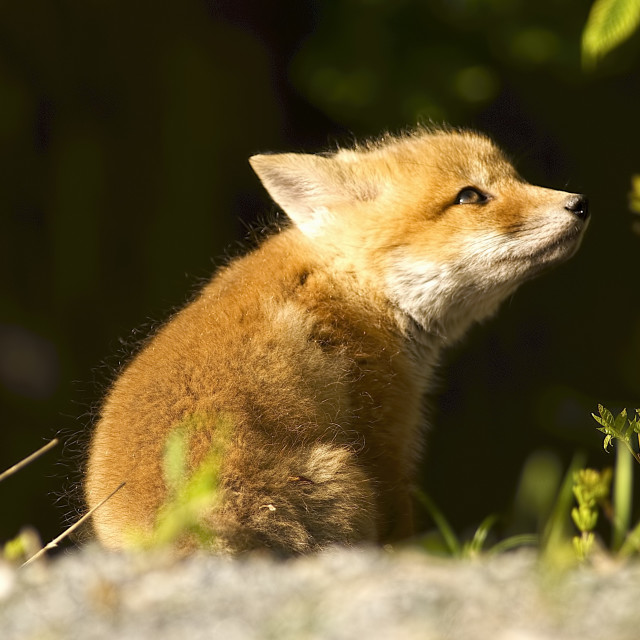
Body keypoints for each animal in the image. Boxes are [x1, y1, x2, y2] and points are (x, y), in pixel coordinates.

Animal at [85, 126, 592, 556]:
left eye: (516, 177)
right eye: (470, 195)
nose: (581, 202)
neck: (350, 289)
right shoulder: (385, 437)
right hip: (344, 480)